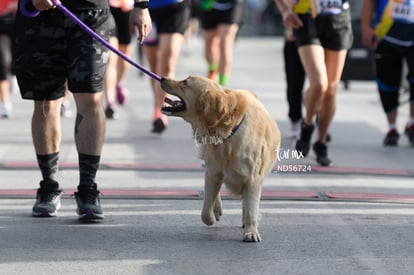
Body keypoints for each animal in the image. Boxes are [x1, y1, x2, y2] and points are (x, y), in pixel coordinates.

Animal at [160, 76, 280, 243]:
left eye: (185, 82)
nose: (162, 78)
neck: (228, 134)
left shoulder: (253, 179)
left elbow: (251, 208)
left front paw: (251, 231)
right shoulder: (213, 172)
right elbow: (205, 210)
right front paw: (211, 216)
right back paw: (216, 209)